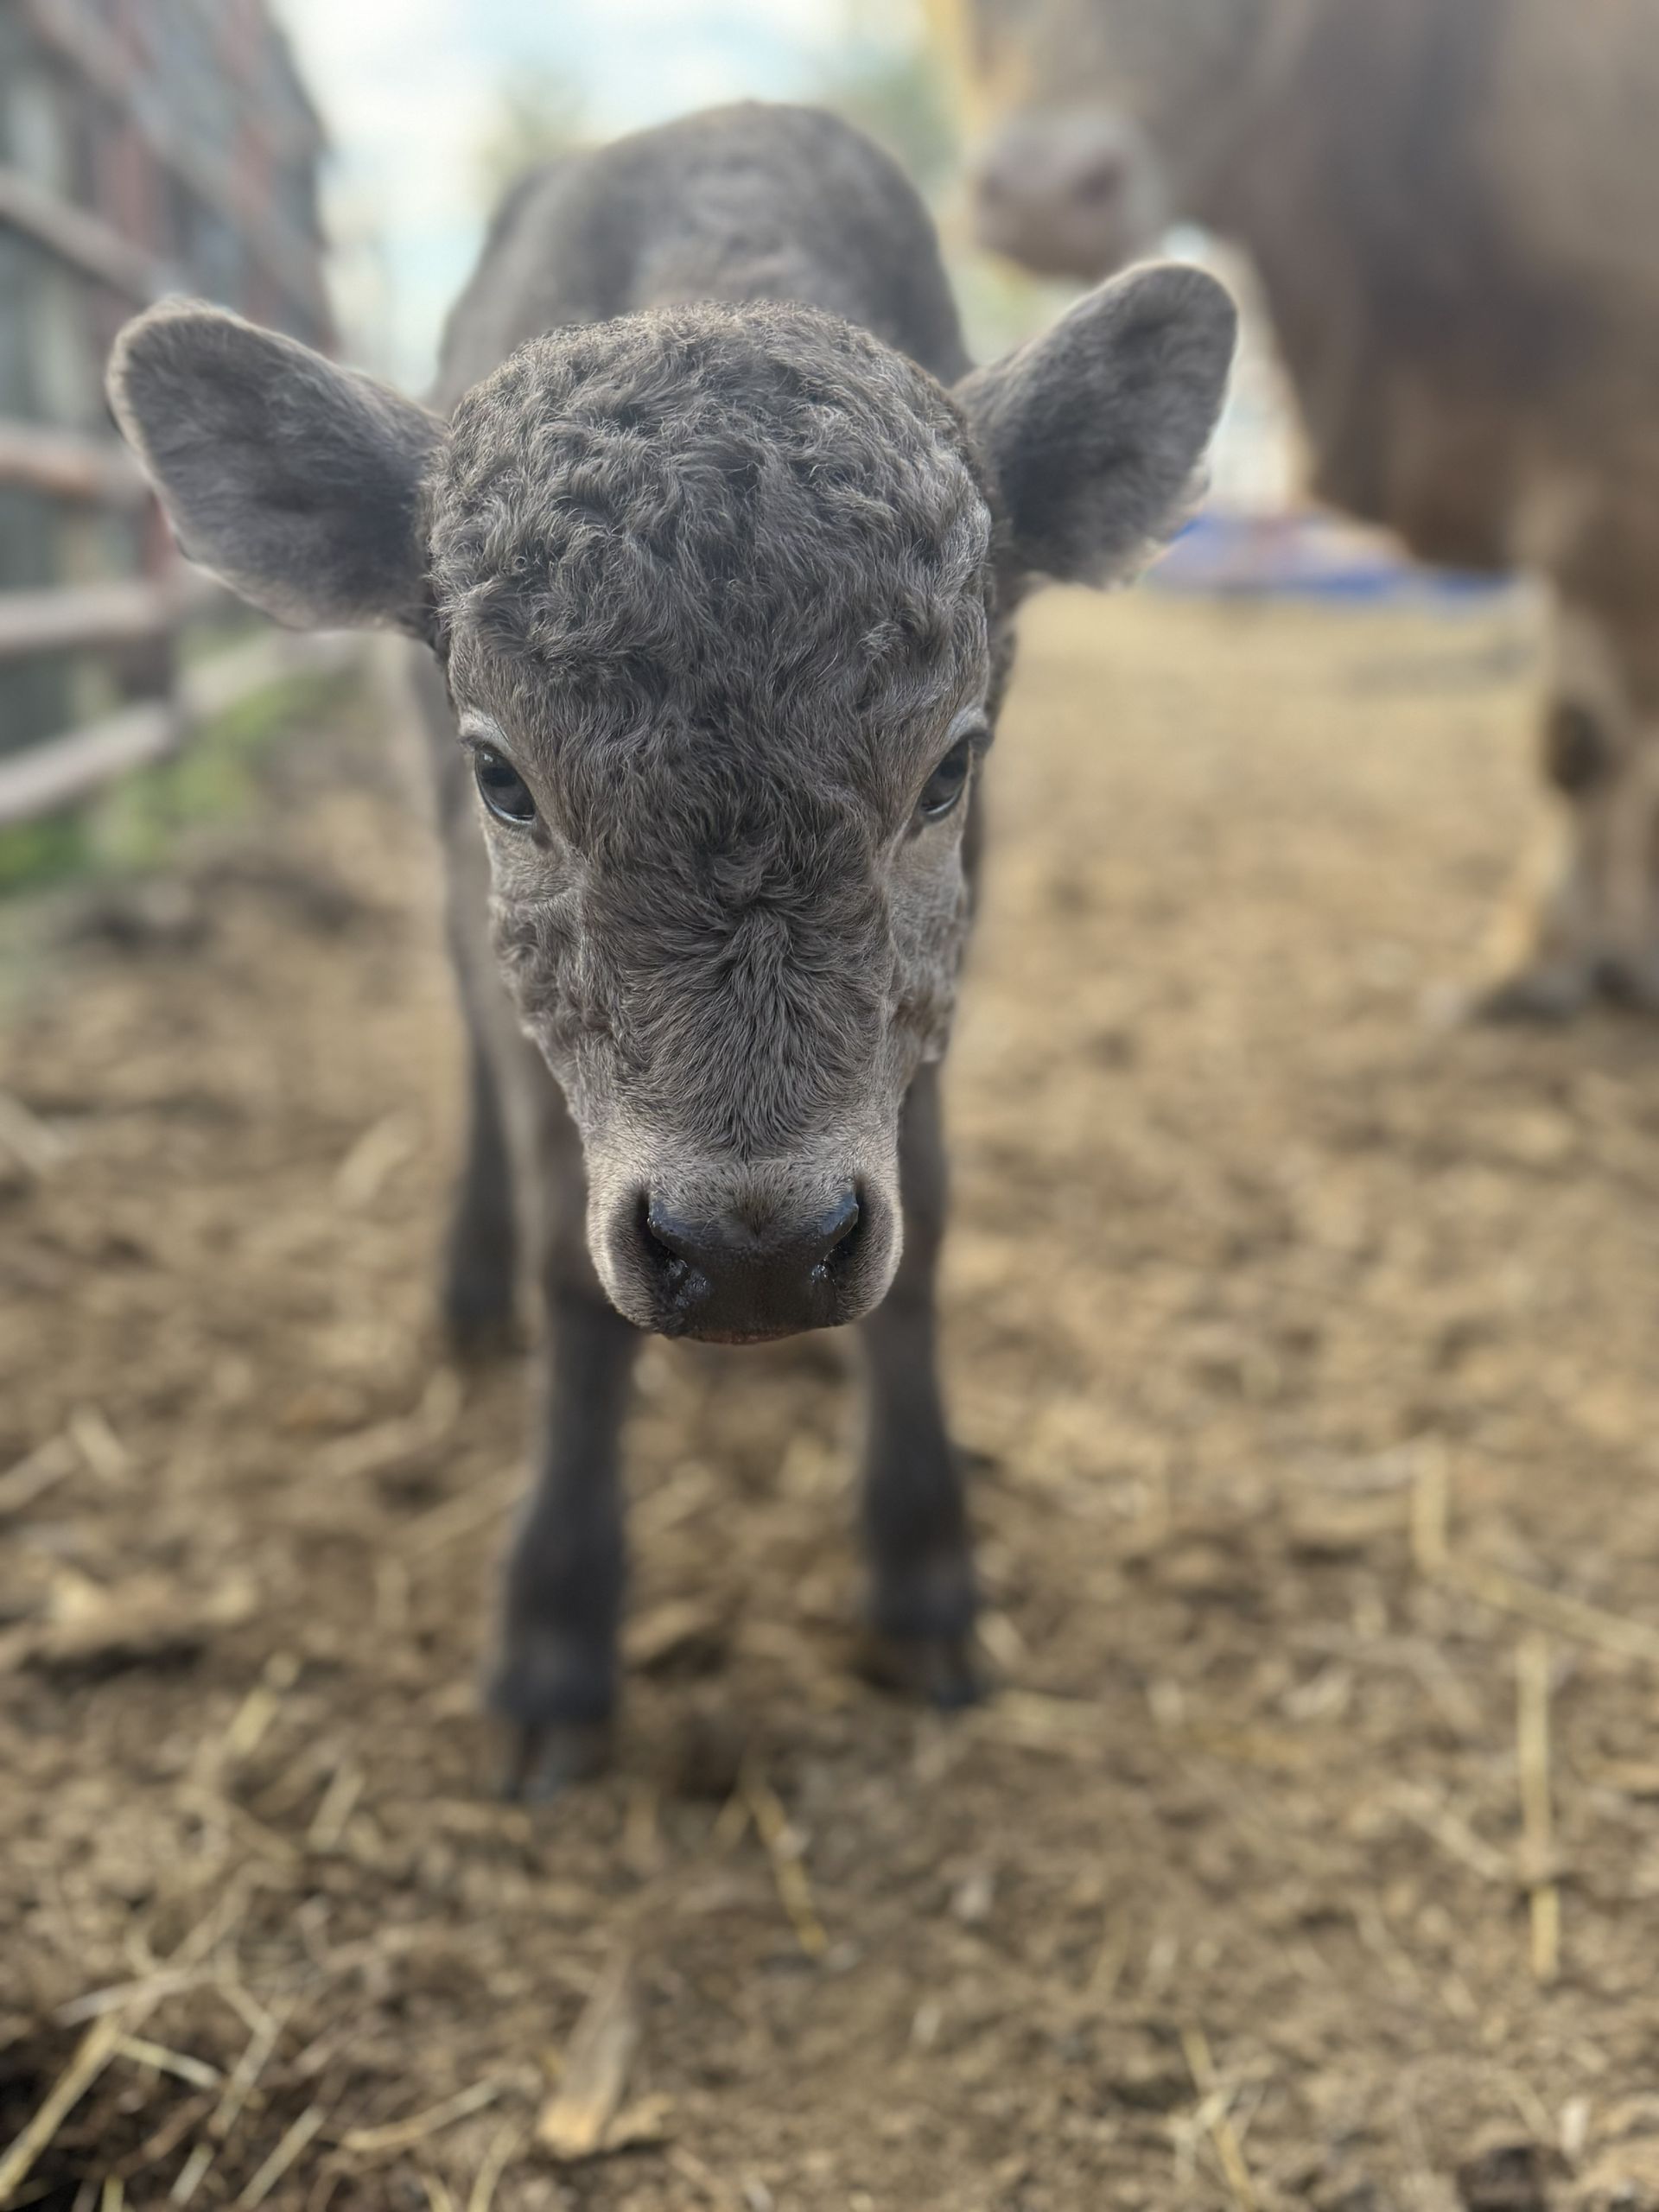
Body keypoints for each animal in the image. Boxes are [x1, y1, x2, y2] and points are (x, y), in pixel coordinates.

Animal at [106, 104, 1235, 1793]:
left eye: (947, 770)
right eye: (506, 776)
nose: (755, 1244)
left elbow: (929, 1228)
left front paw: (924, 1576)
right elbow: (572, 1276)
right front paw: (554, 1638)